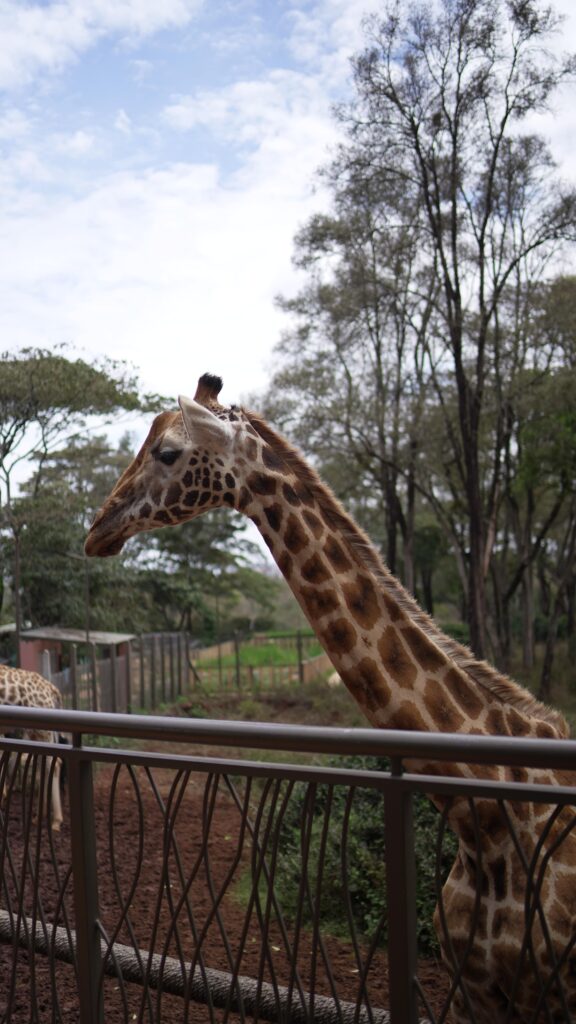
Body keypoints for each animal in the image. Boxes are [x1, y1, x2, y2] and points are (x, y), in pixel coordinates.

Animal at [0, 665, 64, 832]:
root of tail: (51, 689)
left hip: (41, 732)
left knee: (53, 765)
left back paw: (56, 821)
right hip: (37, 734)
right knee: (47, 765)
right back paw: (39, 817)